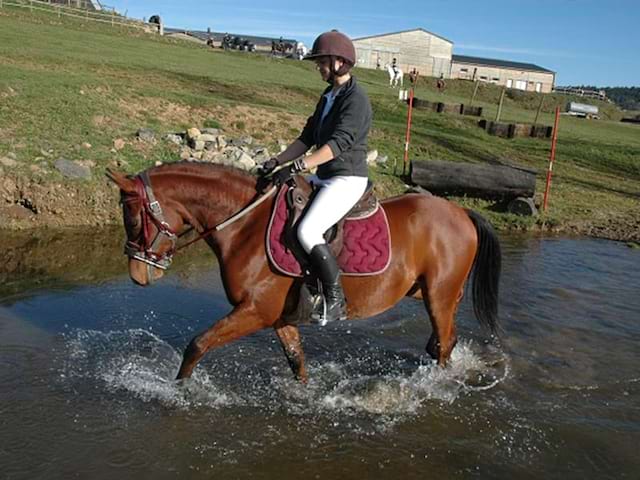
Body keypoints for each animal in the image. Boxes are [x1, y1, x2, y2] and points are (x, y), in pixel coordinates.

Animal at [107, 163, 502, 384]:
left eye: (131, 218)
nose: (138, 275)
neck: (246, 225)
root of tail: (462, 212)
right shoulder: (279, 317)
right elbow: (296, 361)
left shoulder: (254, 312)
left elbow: (197, 345)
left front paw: (178, 390)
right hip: (428, 292)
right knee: (443, 340)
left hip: (438, 296)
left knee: (445, 344)